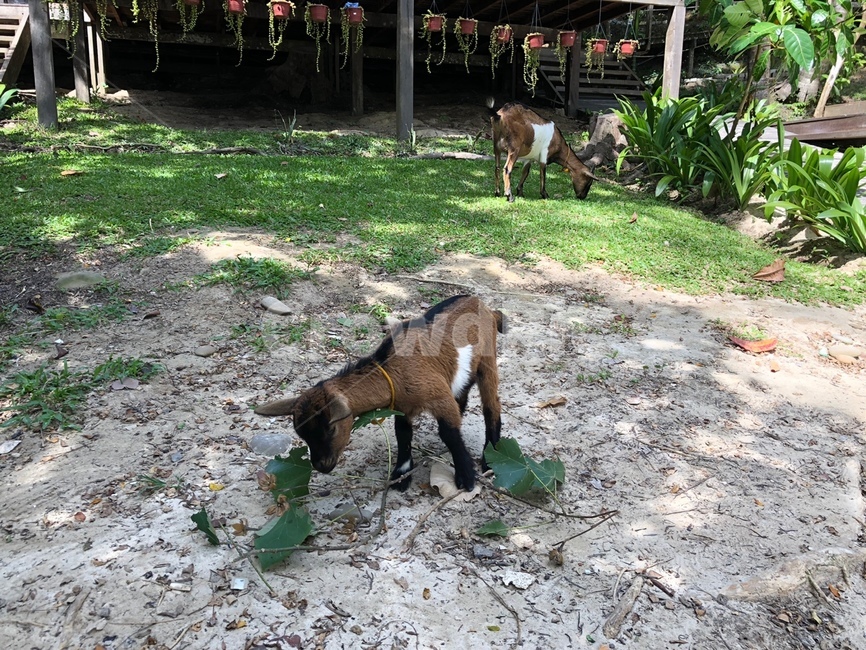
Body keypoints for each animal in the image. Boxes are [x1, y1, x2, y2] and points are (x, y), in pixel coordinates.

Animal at [254, 295, 504, 492]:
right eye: (301, 435)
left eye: (331, 428)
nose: (321, 465)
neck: (393, 369)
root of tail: (484, 306)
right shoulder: (403, 406)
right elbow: (402, 433)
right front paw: (401, 475)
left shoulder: (438, 396)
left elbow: (449, 433)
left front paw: (466, 477)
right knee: (463, 394)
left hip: (488, 358)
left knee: (491, 405)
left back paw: (492, 456)